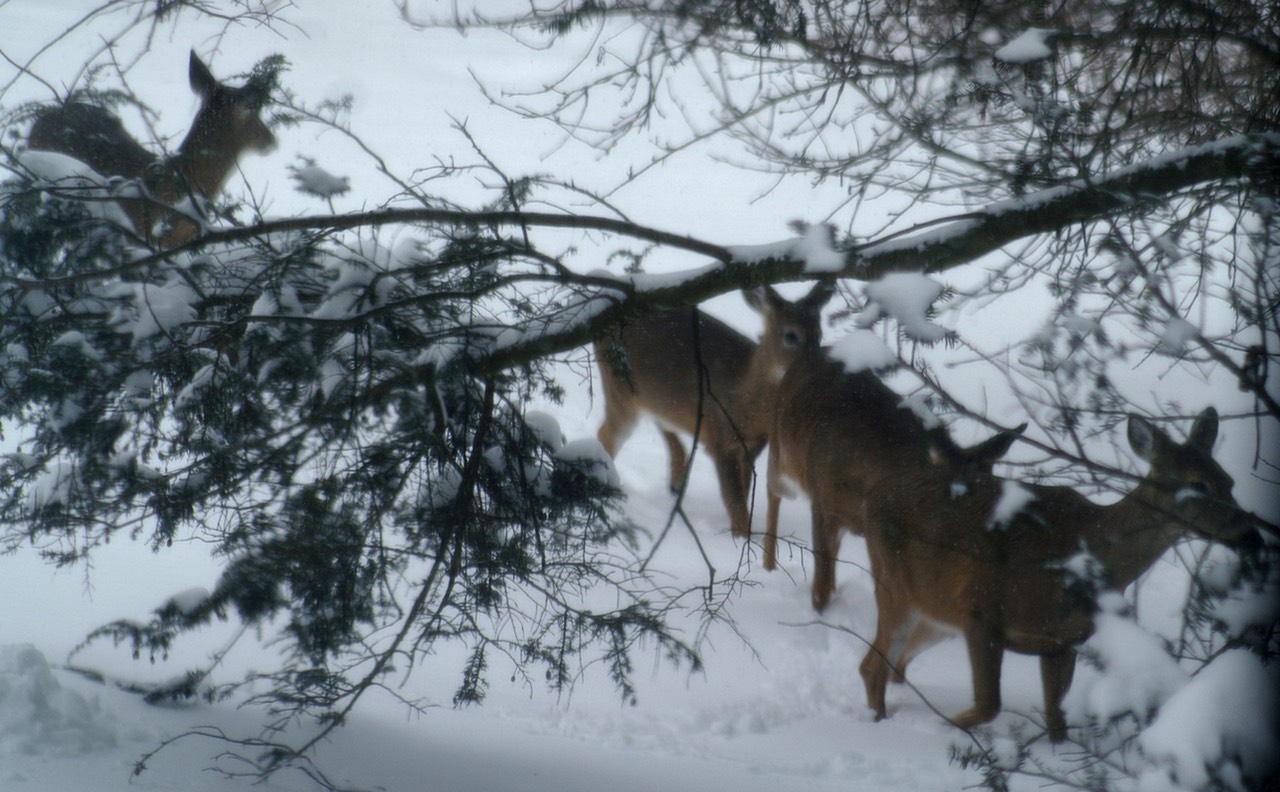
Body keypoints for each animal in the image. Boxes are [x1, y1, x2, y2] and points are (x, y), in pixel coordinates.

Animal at [593, 280, 834, 539]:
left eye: (819, 334)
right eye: (791, 335)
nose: (816, 366)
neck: (743, 395)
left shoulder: (752, 446)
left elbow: (742, 496)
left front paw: (741, 533)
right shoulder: (720, 436)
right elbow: (734, 501)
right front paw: (741, 539)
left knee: (660, 422)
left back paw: (675, 482)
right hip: (619, 392)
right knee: (605, 435)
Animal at [855, 409, 1254, 742]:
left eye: (1229, 481)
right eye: (1198, 485)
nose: (1249, 532)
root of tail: (874, 494)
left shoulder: (1062, 641)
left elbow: (1056, 723)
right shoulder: (981, 607)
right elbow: (989, 705)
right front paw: (941, 729)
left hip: (936, 611)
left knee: (893, 660)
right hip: (897, 586)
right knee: (872, 665)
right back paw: (880, 723)